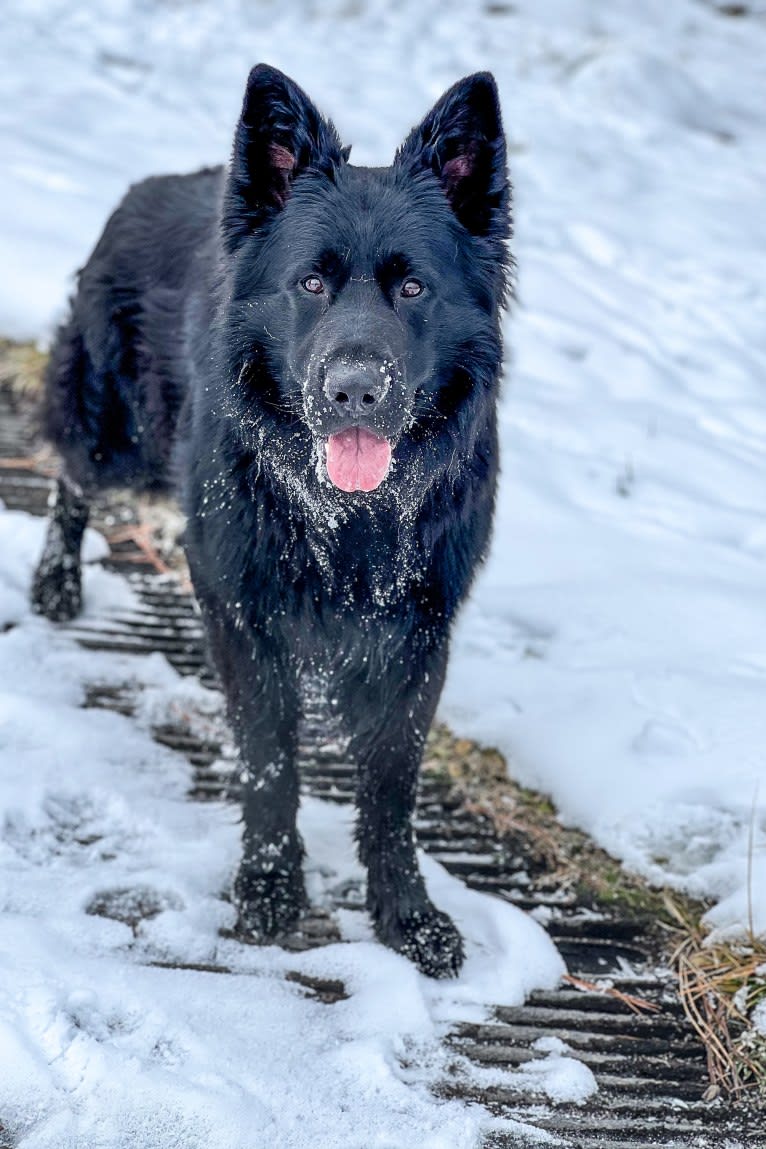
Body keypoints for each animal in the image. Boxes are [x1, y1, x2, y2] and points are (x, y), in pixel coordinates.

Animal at [34, 65, 514, 978]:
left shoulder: (418, 634)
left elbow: (391, 786)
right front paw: (267, 884)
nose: (354, 390)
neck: (347, 515)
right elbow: (268, 762)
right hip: (114, 433)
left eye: (412, 287)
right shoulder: (245, 613)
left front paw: (405, 913)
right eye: (311, 283)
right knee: (68, 477)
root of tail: (149, 185)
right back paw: (55, 580)